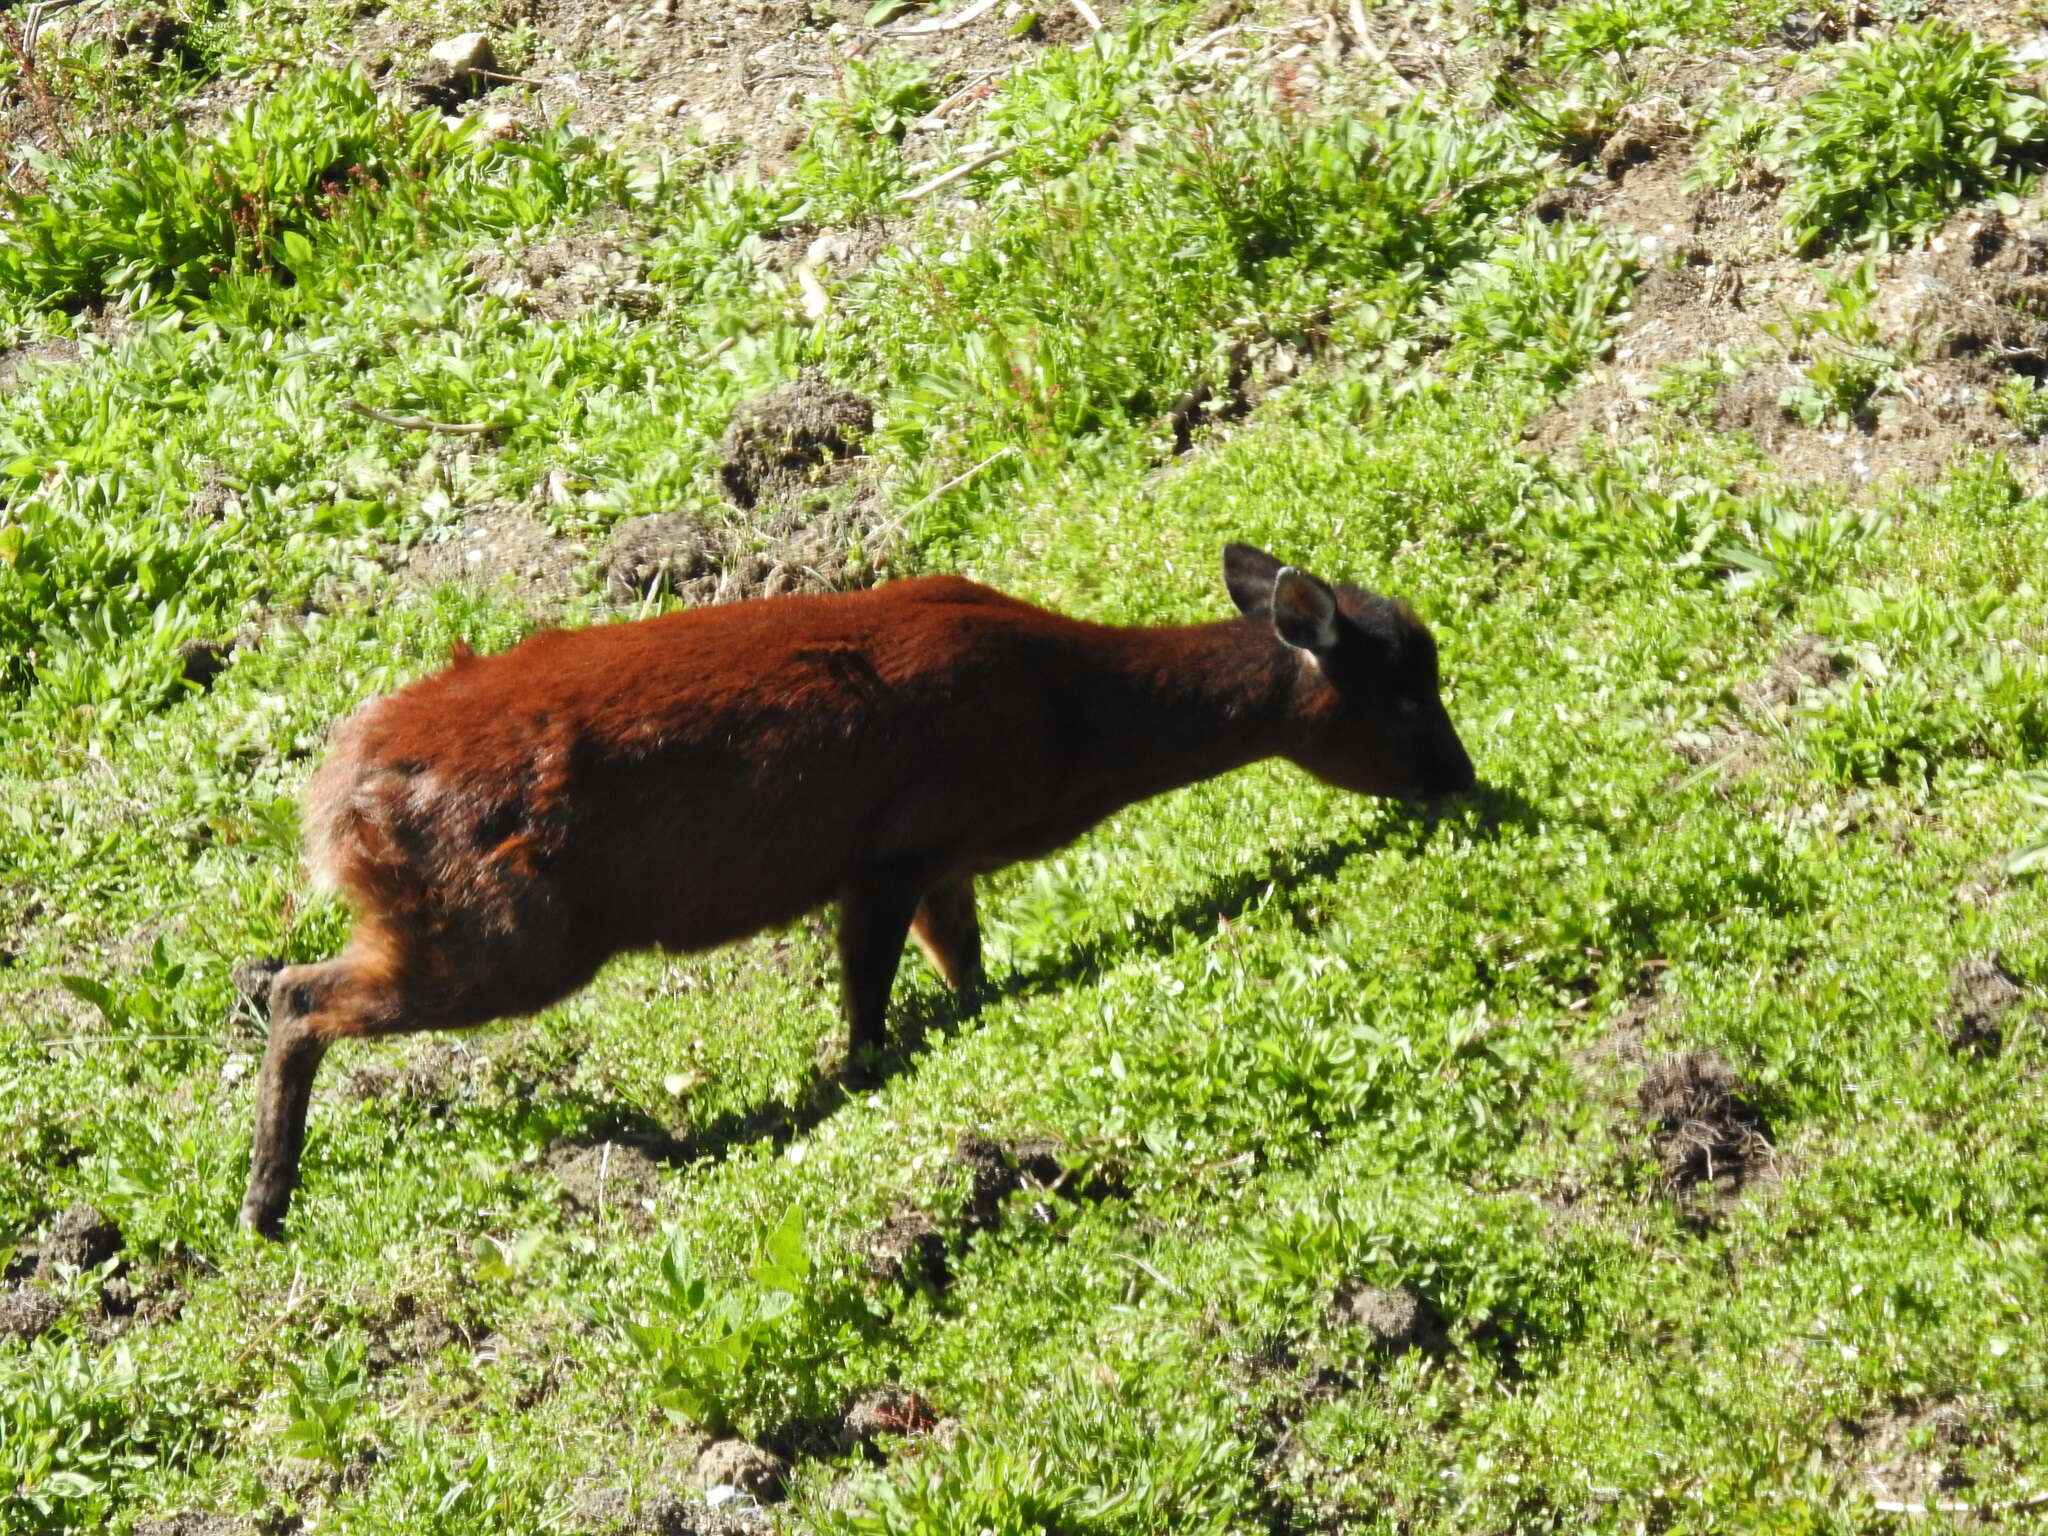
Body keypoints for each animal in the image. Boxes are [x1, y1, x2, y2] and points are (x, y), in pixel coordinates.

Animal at [243, 544, 1474, 1236]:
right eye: (1407, 696)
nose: (1466, 784)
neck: (1067, 713)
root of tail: (330, 805)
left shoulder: (940, 863)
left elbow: (965, 973)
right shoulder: (888, 851)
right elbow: (866, 1021)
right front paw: (864, 1085)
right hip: (506, 935)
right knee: (297, 992)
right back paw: (265, 1204)